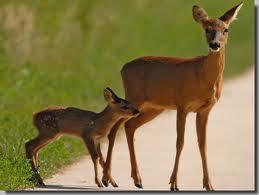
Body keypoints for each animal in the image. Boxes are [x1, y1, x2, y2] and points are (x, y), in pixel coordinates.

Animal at [101, 1, 244, 190]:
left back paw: (136, 179)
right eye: (207, 29)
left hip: (153, 108)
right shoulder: (182, 105)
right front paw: (174, 183)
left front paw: (209, 185)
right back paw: (108, 178)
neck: (203, 76)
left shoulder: (205, 109)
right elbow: (180, 142)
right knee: (115, 127)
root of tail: (123, 68)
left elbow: (203, 143)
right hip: (134, 99)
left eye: (225, 29)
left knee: (129, 126)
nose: (215, 44)